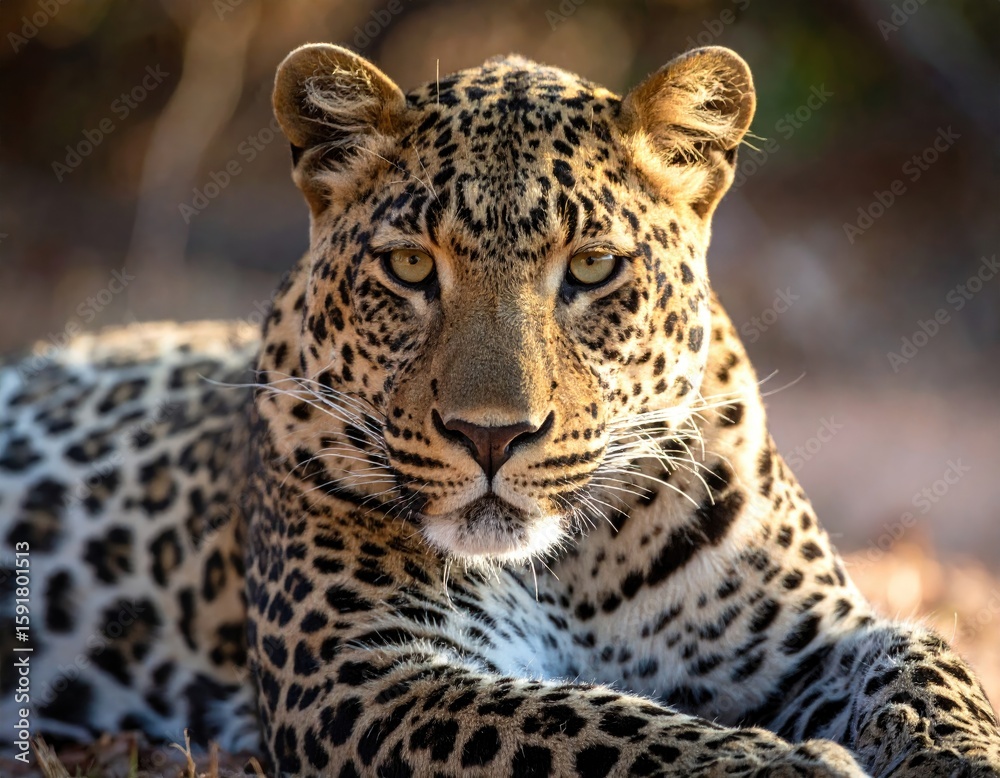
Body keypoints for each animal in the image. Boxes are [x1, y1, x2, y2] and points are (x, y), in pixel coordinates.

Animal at [2, 43, 999, 777]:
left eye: (592, 267)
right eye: (410, 267)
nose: (492, 436)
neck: (577, 569)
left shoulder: (815, 637)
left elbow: (930, 668)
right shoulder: (363, 673)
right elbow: (588, 724)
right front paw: (789, 768)